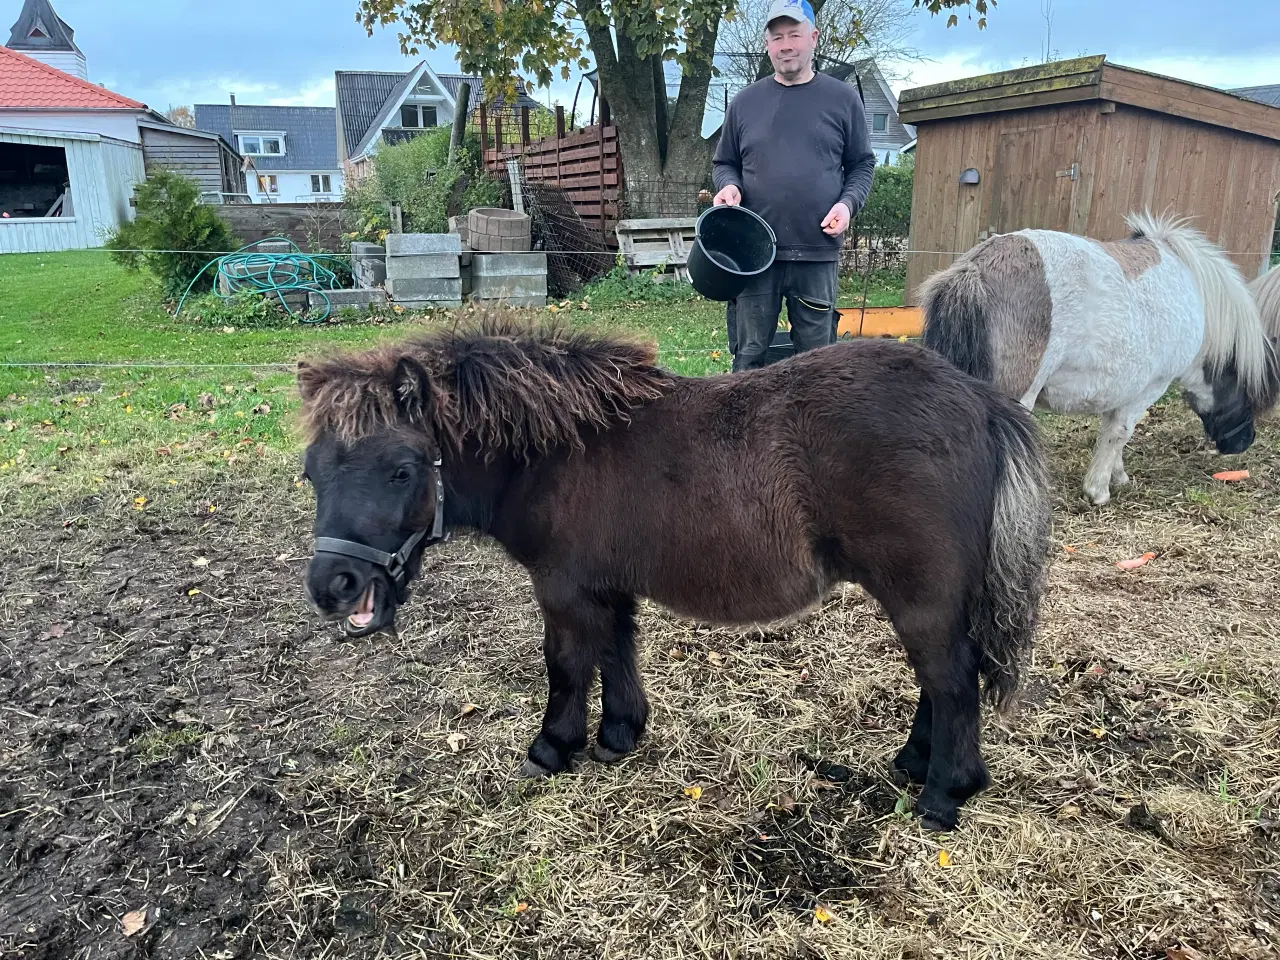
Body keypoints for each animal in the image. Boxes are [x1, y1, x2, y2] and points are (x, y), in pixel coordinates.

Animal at [296, 316, 1049, 834]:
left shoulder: (564, 589)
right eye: (311, 472)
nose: (332, 586)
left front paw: (553, 747)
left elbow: (568, 664)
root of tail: (977, 398)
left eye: (401, 470)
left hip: (921, 594)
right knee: (943, 681)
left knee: (951, 681)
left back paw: (944, 794)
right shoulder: (606, 586)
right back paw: (915, 764)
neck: (560, 449)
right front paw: (619, 735)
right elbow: (616, 651)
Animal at [921, 213, 1280, 506]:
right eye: (1250, 388)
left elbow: (1115, 432)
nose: (1243, 442)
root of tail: (977, 269)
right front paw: (1098, 490)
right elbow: (1119, 433)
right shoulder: (1149, 387)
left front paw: (1117, 476)